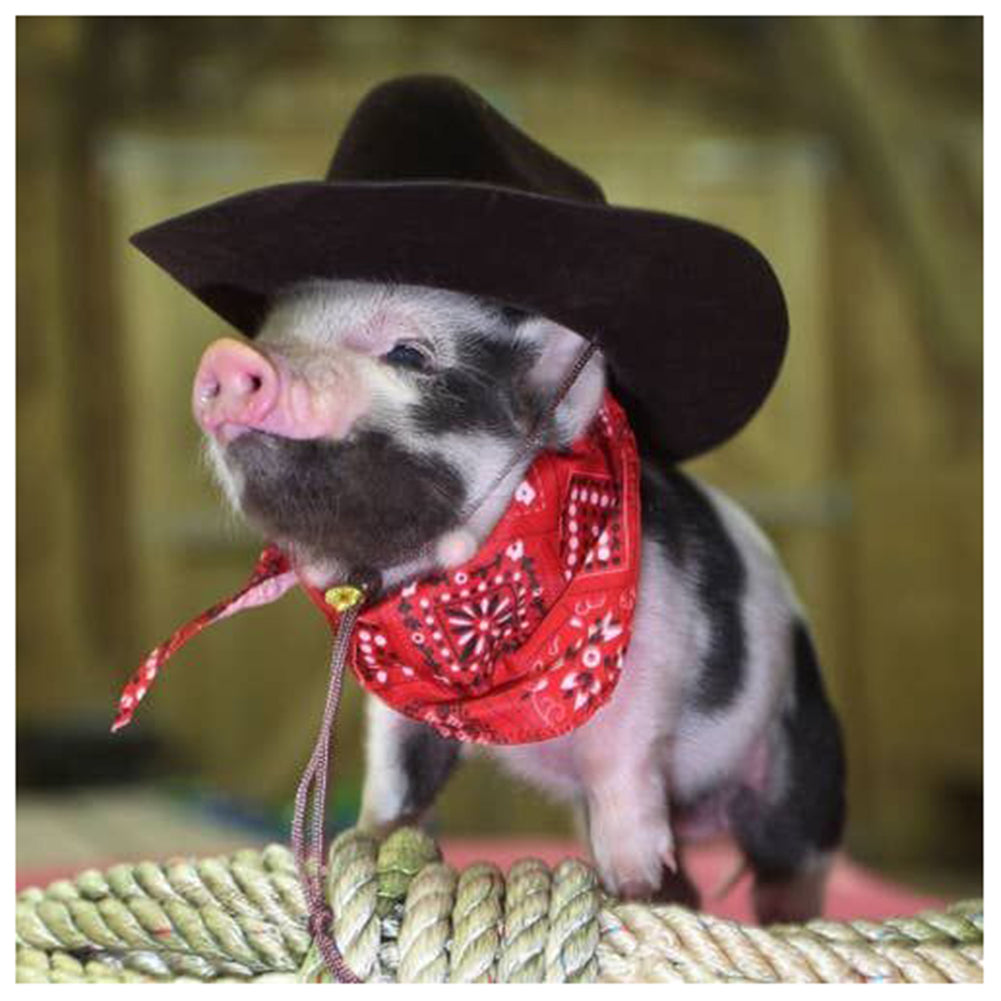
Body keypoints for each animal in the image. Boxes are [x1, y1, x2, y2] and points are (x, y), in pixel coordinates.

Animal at [193, 278, 845, 923]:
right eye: (271, 333)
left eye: (409, 353)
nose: (225, 358)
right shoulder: (399, 707)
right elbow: (396, 774)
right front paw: (366, 843)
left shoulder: (651, 663)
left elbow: (620, 764)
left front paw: (633, 881)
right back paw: (675, 895)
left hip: (800, 764)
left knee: (792, 860)